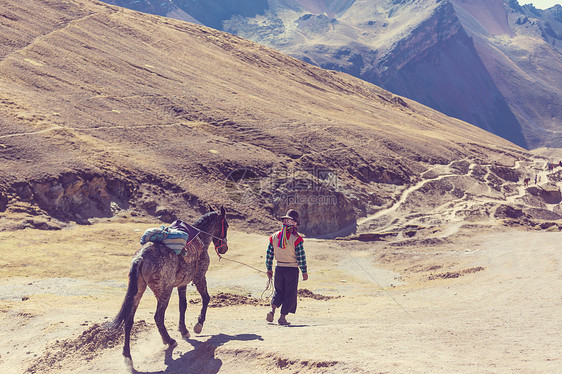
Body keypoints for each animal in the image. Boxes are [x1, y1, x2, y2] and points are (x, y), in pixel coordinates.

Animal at [109, 207, 228, 368]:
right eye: (226, 225)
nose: (224, 248)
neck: (202, 238)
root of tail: (140, 257)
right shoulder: (199, 278)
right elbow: (206, 298)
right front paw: (198, 325)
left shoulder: (182, 284)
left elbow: (183, 306)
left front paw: (184, 330)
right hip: (165, 291)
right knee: (158, 316)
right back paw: (169, 341)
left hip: (138, 291)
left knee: (129, 320)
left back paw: (127, 357)